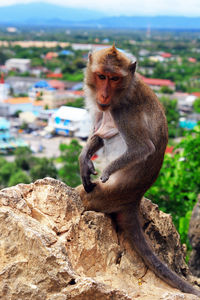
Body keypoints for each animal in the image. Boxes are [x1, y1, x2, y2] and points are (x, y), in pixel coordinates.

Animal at [76, 45, 200, 296]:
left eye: (114, 78)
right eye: (102, 76)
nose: (104, 96)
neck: (122, 92)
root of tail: (133, 200)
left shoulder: (123, 111)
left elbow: (142, 147)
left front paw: (106, 171)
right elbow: (98, 135)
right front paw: (85, 158)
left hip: (107, 196)